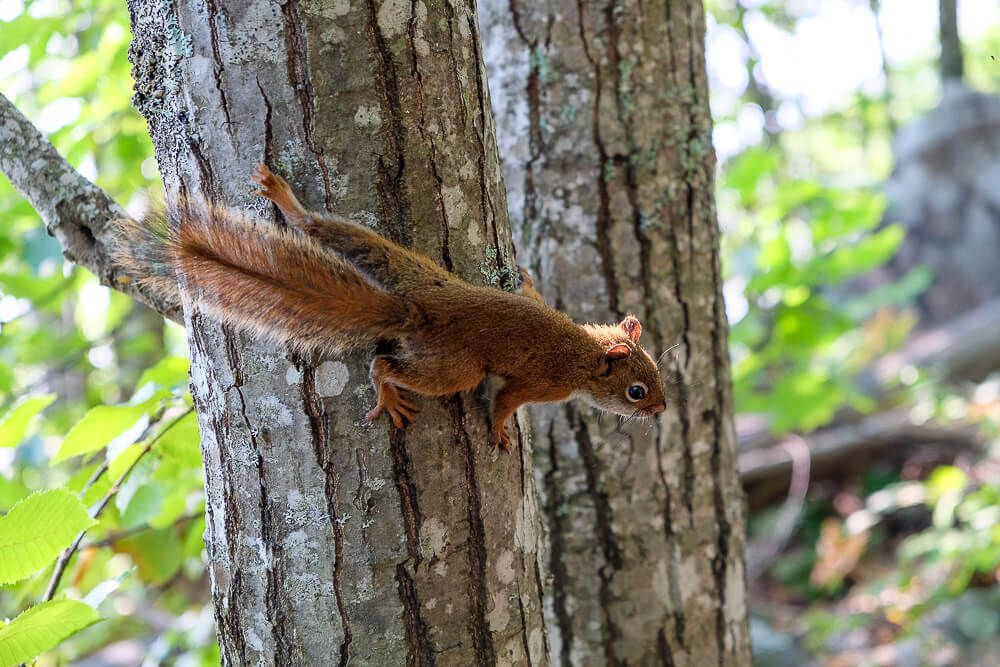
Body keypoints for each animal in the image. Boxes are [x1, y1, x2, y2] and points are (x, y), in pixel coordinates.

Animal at [119, 164, 664, 452]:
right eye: (636, 391)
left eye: (657, 372)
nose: (660, 410)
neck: (583, 353)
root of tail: (417, 311)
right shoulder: (540, 383)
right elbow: (506, 401)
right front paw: (500, 431)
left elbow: (530, 294)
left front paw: (526, 279)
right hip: (454, 367)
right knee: (386, 365)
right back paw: (389, 392)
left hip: (401, 263)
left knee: (321, 229)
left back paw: (288, 202)